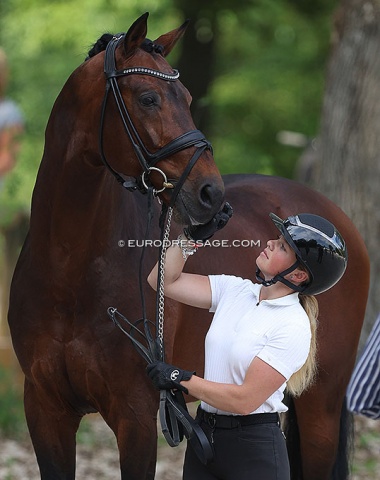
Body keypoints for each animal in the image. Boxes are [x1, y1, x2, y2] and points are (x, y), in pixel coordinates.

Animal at [6, 11, 368, 480]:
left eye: (188, 97)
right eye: (148, 98)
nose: (212, 196)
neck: (69, 268)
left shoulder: (137, 417)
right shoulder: (46, 411)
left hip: (320, 404)